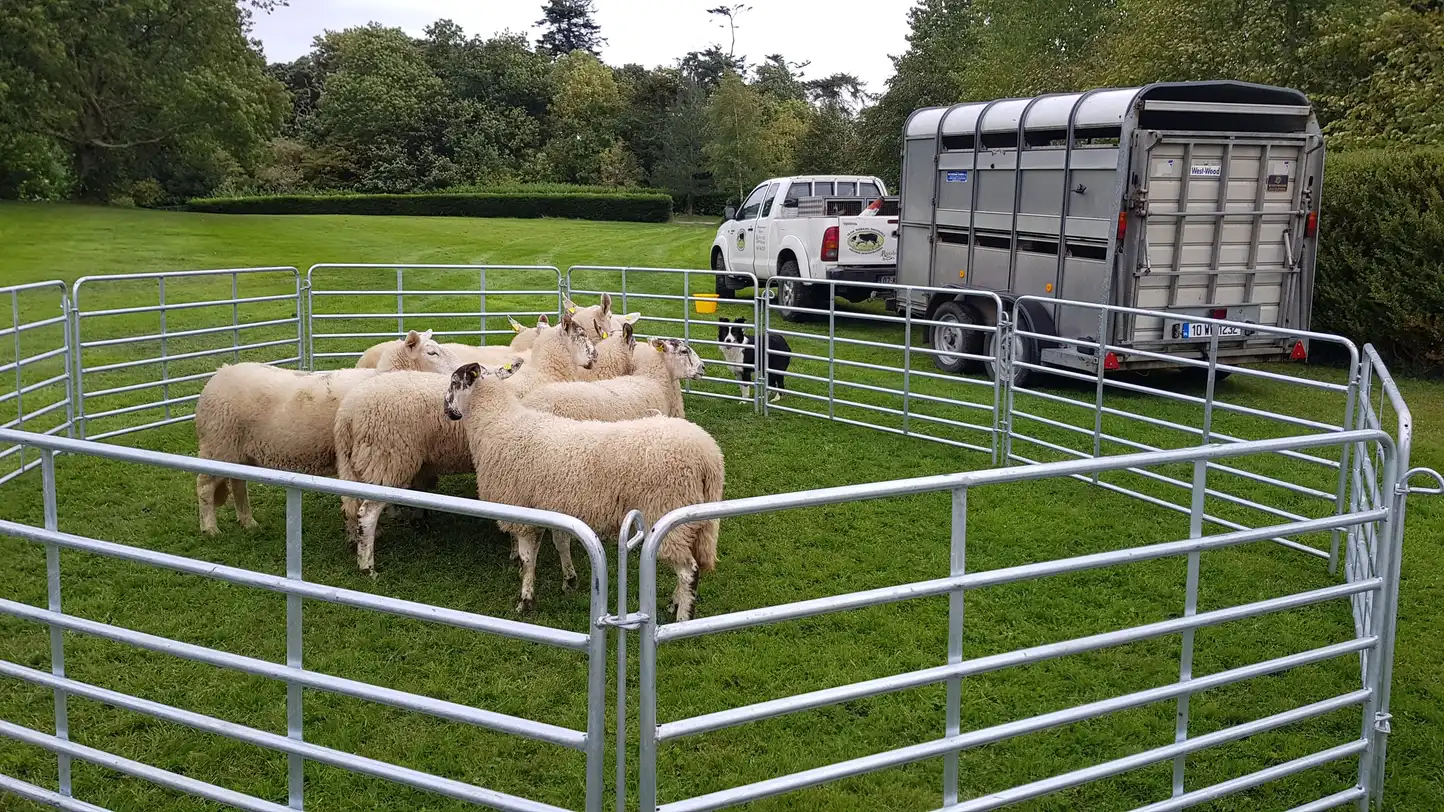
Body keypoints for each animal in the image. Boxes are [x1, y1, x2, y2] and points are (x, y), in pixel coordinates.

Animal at [194, 330, 456, 535]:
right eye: (431, 353)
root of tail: (219, 374)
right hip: (217, 444)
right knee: (205, 485)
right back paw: (210, 528)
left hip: (237, 451)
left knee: (238, 484)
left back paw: (248, 522)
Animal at [336, 311, 612, 576]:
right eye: (581, 334)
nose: (596, 355)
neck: (545, 372)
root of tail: (347, 413)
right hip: (388, 457)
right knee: (367, 514)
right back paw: (367, 566)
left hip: (363, 461)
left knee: (351, 505)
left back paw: (355, 541)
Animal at [444, 361, 725, 620]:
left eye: (454, 382)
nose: (447, 410)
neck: (497, 422)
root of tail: (709, 455)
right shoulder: (547, 507)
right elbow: (556, 546)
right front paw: (568, 581)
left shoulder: (521, 511)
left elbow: (527, 558)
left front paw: (525, 601)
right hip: (689, 521)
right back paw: (675, 603)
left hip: (668, 509)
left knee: (688, 571)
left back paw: (683, 616)